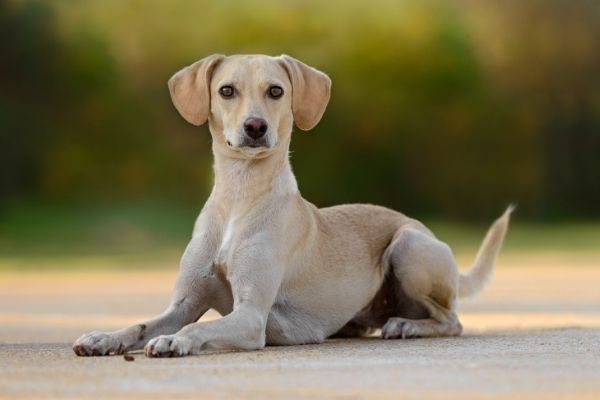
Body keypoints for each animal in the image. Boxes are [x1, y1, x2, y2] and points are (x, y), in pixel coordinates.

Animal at [72, 54, 512, 358]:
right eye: (226, 90)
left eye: (276, 91)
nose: (255, 127)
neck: (240, 198)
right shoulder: (183, 304)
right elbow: (141, 323)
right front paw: (104, 337)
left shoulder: (251, 318)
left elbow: (194, 330)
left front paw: (172, 341)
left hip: (408, 247)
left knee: (450, 319)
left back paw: (406, 325)